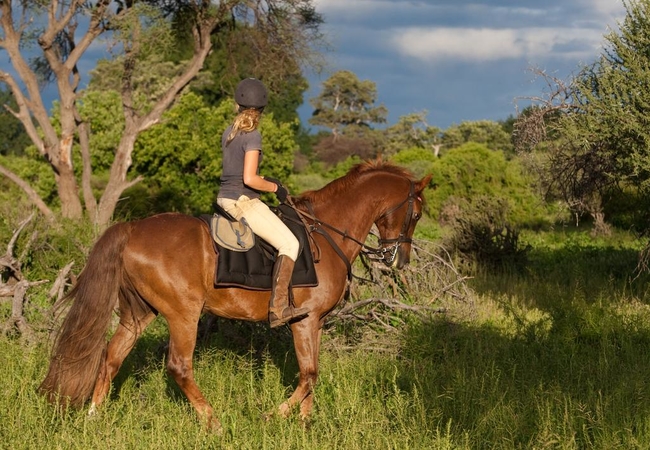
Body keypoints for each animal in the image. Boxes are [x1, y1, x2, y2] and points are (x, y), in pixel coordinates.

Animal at [39, 160, 430, 430]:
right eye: (417, 213)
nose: (399, 259)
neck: (327, 231)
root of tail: (133, 228)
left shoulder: (314, 322)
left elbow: (311, 374)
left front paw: (305, 425)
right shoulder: (304, 322)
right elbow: (309, 374)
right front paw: (274, 416)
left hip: (139, 313)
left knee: (111, 358)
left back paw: (94, 417)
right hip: (183, 314)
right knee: (179, 366)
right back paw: (213, 422)